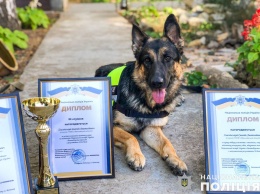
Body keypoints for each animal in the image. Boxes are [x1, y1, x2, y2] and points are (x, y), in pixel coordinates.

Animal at [95, 14, 187, 175]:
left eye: (168, 58)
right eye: (147, 60)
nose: (157, 83)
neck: (146, 102)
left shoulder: (151, 129)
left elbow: (167, 143)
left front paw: (176, 160)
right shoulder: (114, 126)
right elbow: (131, 137)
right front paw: (136, 156)